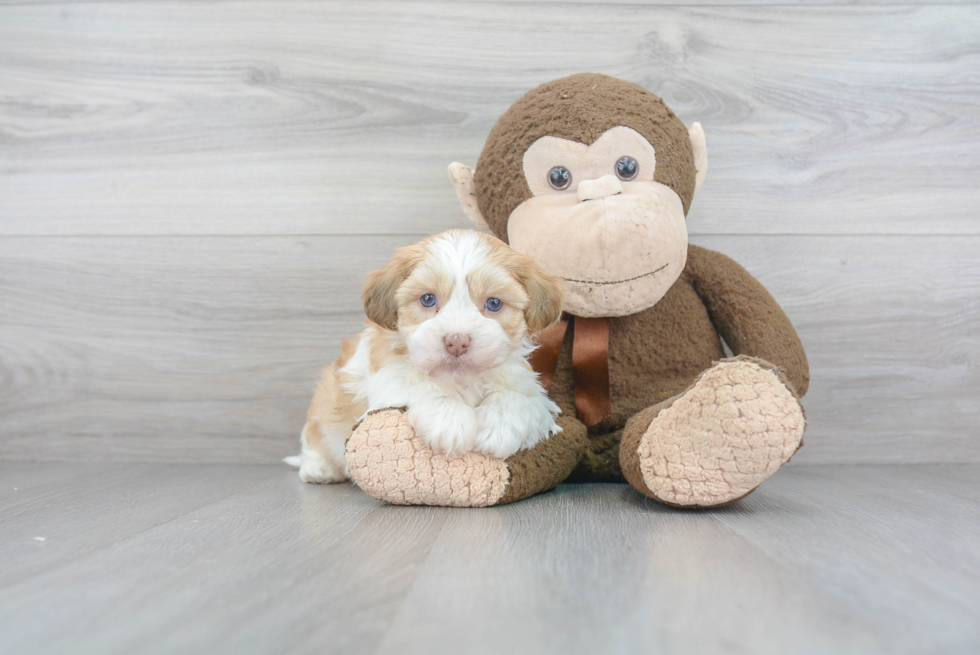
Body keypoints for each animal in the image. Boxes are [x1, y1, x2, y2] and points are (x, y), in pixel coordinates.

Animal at [290, 229, 568, 482]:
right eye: (427, 299)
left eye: (494, 303)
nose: (457, 341)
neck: (461, 380)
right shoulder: (387, 377)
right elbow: (420, 384)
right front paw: (450, 421)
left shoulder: (530, 388)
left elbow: (517, 398)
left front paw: (500, 427)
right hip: (324, 403)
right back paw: (319, 467)